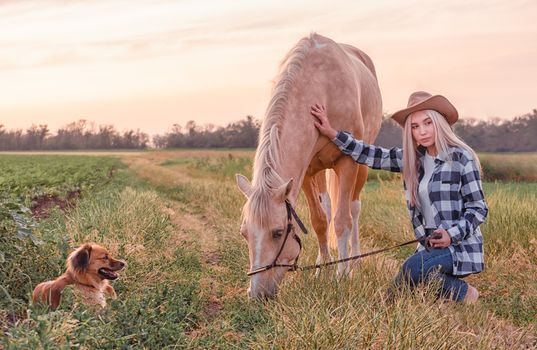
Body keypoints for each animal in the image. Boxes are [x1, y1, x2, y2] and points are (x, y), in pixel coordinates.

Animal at [234, 33, 382, 298]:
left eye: (278, 232)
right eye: (244, 233)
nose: (257, 294)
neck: (321, 89)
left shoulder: (347, 163)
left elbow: (342, 221)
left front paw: (342, 275)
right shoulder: (305, 173)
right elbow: (320, 221)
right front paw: (323, 271)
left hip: (361, 165)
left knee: (354, 209)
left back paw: (354, 262)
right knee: (328, 207)